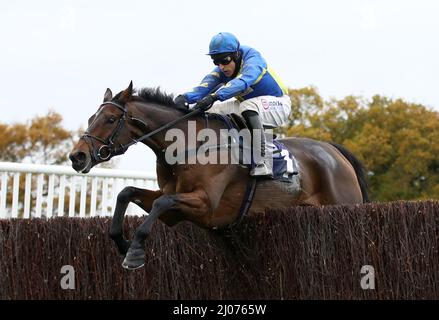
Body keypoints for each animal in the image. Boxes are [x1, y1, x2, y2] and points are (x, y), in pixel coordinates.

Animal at [70, 82, 370, 270]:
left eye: (110, 119)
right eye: (91, 118)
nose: (77, 156)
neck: (189, 144)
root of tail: (335, 151)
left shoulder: (206, 206)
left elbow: (159, 203)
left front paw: (134, 253)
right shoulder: (174, 205)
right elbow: (127, 193)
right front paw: (121, 242)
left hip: (344, 205)